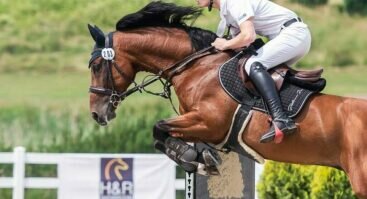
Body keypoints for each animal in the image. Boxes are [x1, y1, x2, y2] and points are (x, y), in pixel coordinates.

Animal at [87, 1, 367, 197]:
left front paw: (193, 159)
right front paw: (201, 159)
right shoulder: (196, 124)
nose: (97, 114)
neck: (196, 66)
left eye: (98, 66)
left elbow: (158, 127)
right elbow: (162, 136)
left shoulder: (208, 122)